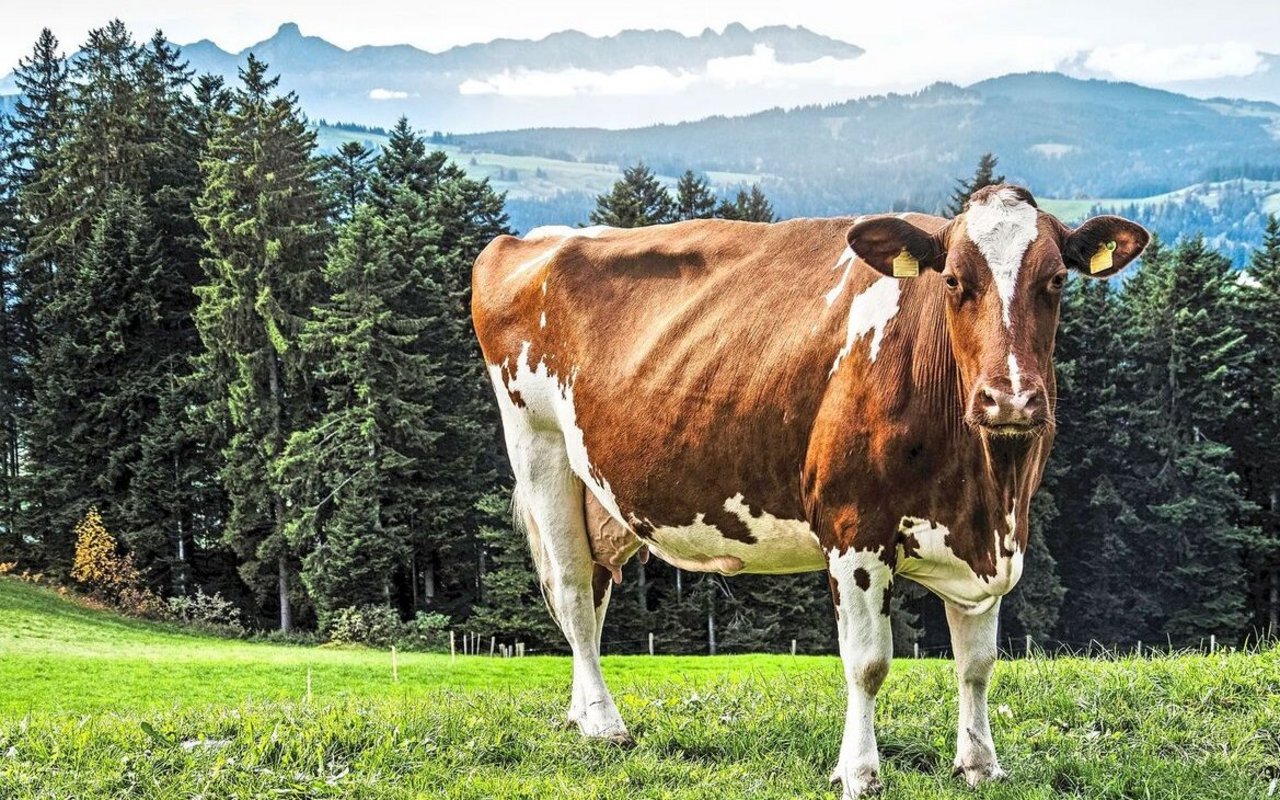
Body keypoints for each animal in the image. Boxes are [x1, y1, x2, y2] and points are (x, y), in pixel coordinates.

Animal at [471, 185, 1148, 797]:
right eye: (954, 281)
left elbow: (977, 664)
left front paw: (980, 765)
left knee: (595, 592)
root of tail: (530, 240)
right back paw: (605, 726)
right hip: (540, 450)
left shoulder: (992, 540)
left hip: (601, 498)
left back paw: (580, 715)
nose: (1009, 399)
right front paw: (859, 772)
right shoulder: (854, 531)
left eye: (1055, 280)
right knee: (572, 593)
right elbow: (868, 662)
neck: (986, 489)